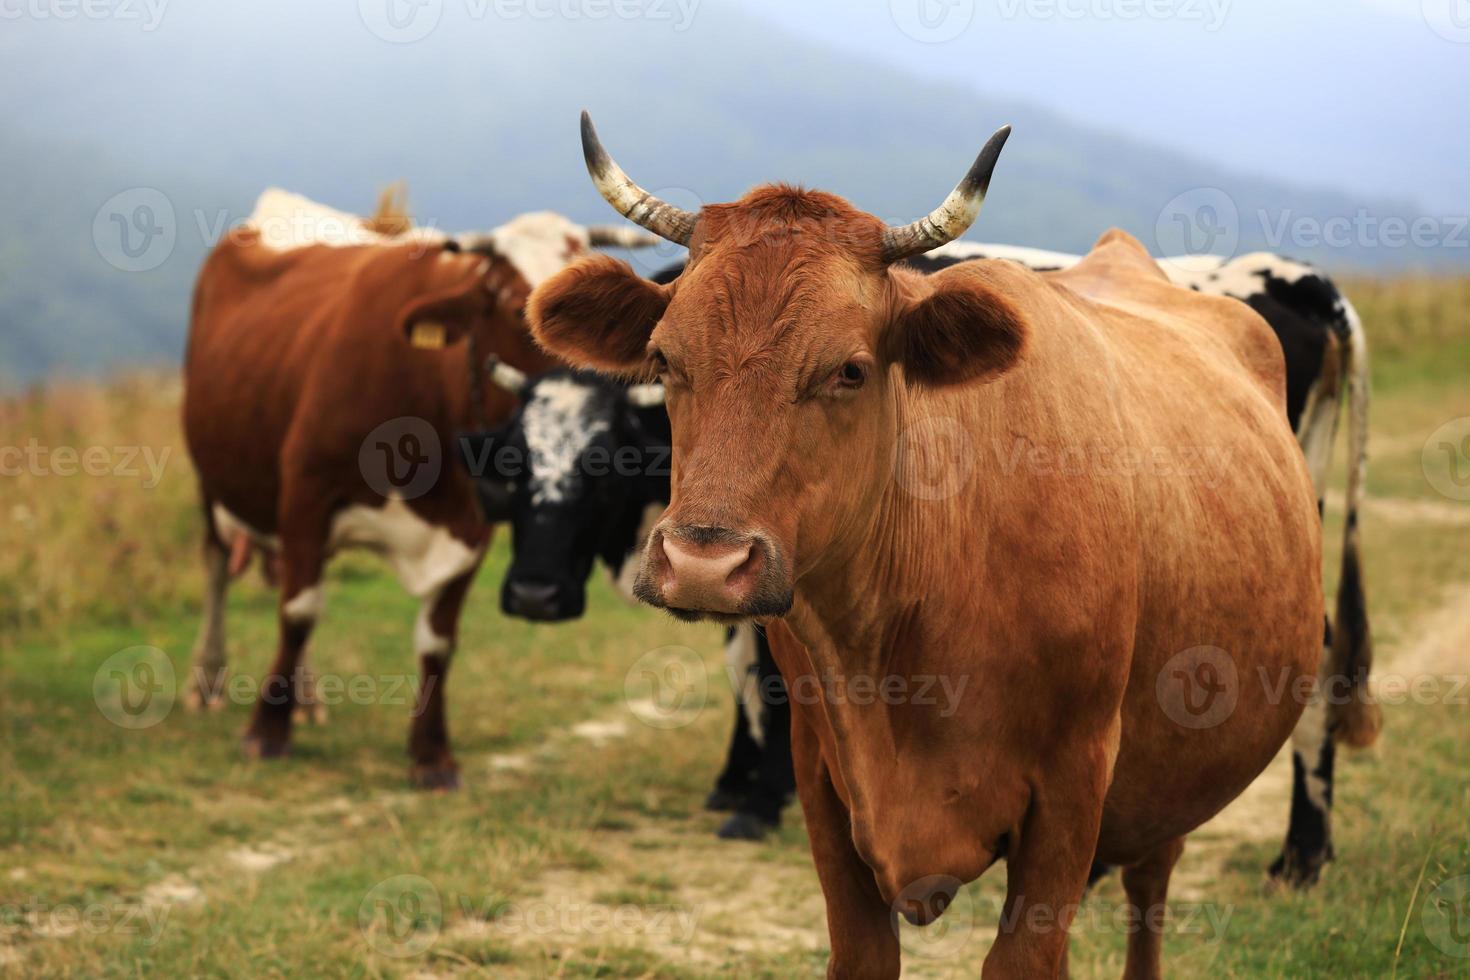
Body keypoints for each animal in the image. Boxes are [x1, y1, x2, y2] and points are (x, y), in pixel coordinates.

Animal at [177, 191, 649, 787]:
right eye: (513, 305)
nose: (583, 399)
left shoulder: (472, 525)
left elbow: (437, 639)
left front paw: (431, 755)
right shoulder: (307, 490)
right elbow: (299, 610)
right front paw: (266, 733)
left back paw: (306, 697)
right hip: (212, 474)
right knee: (219, 565)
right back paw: (208, 681)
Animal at [464, 357, 799, 840]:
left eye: (604, 468)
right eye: (514, 464)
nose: (534, 594)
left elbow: (775, 681)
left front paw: (764, 800)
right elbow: (744, 673)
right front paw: (736, 782)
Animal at [526, 116, 1323, 980]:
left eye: (850, 370)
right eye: (665, 359)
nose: (706, 564)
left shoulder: (1074, 787)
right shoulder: (823, 781)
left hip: (1166, 789)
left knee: (1149, 896)